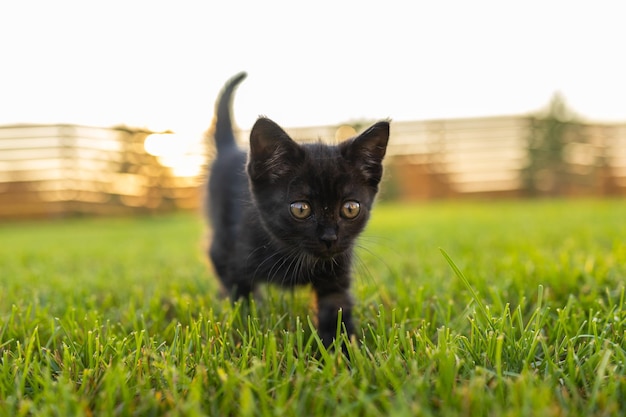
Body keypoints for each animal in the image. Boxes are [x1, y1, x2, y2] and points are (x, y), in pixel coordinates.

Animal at [207, 73, 388, 346]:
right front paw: (243, 335)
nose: (329, 238)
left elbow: (336, 311)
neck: (292, 255)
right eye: (301, 209)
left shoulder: (337, 273)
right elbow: (242, 304)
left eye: (350, 208)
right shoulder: (227, 258)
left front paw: (342, 351)